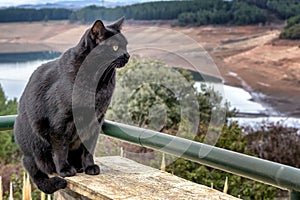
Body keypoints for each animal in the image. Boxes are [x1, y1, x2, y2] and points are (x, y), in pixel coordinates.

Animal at [14, 17, 129, 194]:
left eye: (126, 45)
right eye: (115, 47)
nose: (127, 55)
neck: (98, 82)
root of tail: (25, 157)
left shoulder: (96, 120)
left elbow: (89, 147)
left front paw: (90, 166)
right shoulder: (60, 122)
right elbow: (60, 148)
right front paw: (65, 170)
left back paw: (79, 166)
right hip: (34, 146)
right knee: (38, 167)